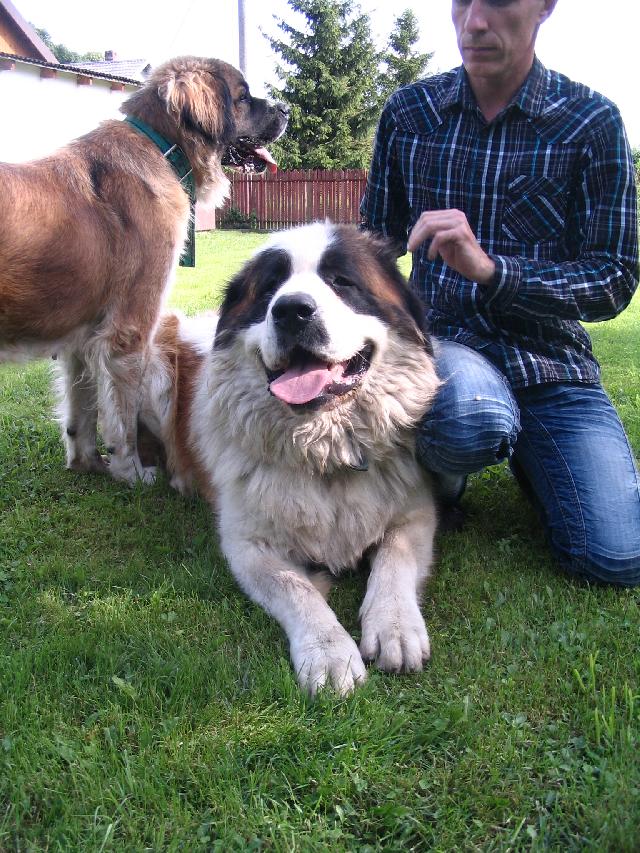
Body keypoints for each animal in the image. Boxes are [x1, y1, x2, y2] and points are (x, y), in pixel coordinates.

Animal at [0, 56, 288, 483]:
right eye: (242, 97)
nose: (286, 110)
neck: (161, 146)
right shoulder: (129, 330)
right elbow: (123, 415)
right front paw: (131, 471)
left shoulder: (82, 337)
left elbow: (82, 412)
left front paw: (87, 464)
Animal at [140, 222, 441, 694]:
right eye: (269, 289)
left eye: (341, 281)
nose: (291, 310)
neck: (323, 446)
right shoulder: (246, 545)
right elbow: (294, 587)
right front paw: (329, 654)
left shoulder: (415, 513)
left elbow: (395, 556)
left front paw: (394, 626)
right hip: (154, 365)